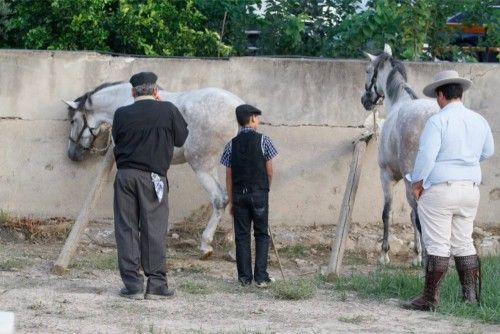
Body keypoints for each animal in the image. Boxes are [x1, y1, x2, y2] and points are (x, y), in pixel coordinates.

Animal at [64, 81, 244, 258]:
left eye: (73, 121)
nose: (72, 154)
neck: (123, 101)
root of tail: (238, 106)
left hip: (202, 164)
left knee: (220, 199)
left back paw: (206, 246)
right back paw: (233, 251)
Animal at [362, 44, 440, 264]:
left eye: (368, 71)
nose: (365, 100)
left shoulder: (386, 176)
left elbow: (387, 213)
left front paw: (384, 254)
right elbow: (411, 216)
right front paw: (417, 254)